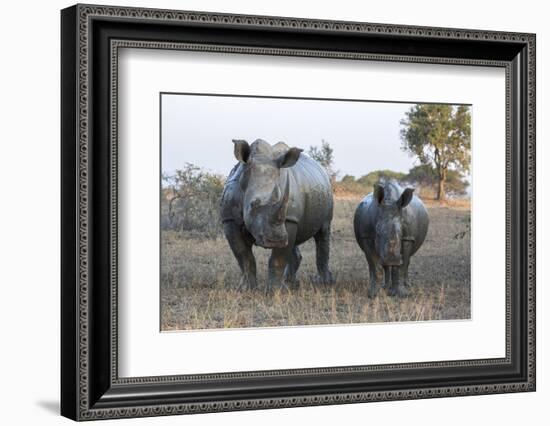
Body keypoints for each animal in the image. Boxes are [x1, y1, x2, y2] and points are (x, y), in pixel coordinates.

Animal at [221, 138, 336, 292]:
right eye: (252, 204)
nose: (276, 240)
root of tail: (321, 169)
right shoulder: (229, 220)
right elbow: (243, 256)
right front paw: (246, 289)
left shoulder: (289, 219)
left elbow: (278, 258)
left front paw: (275, 291)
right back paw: (290, 282)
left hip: (327, 192)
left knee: (323, 232)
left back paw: (324, 282)